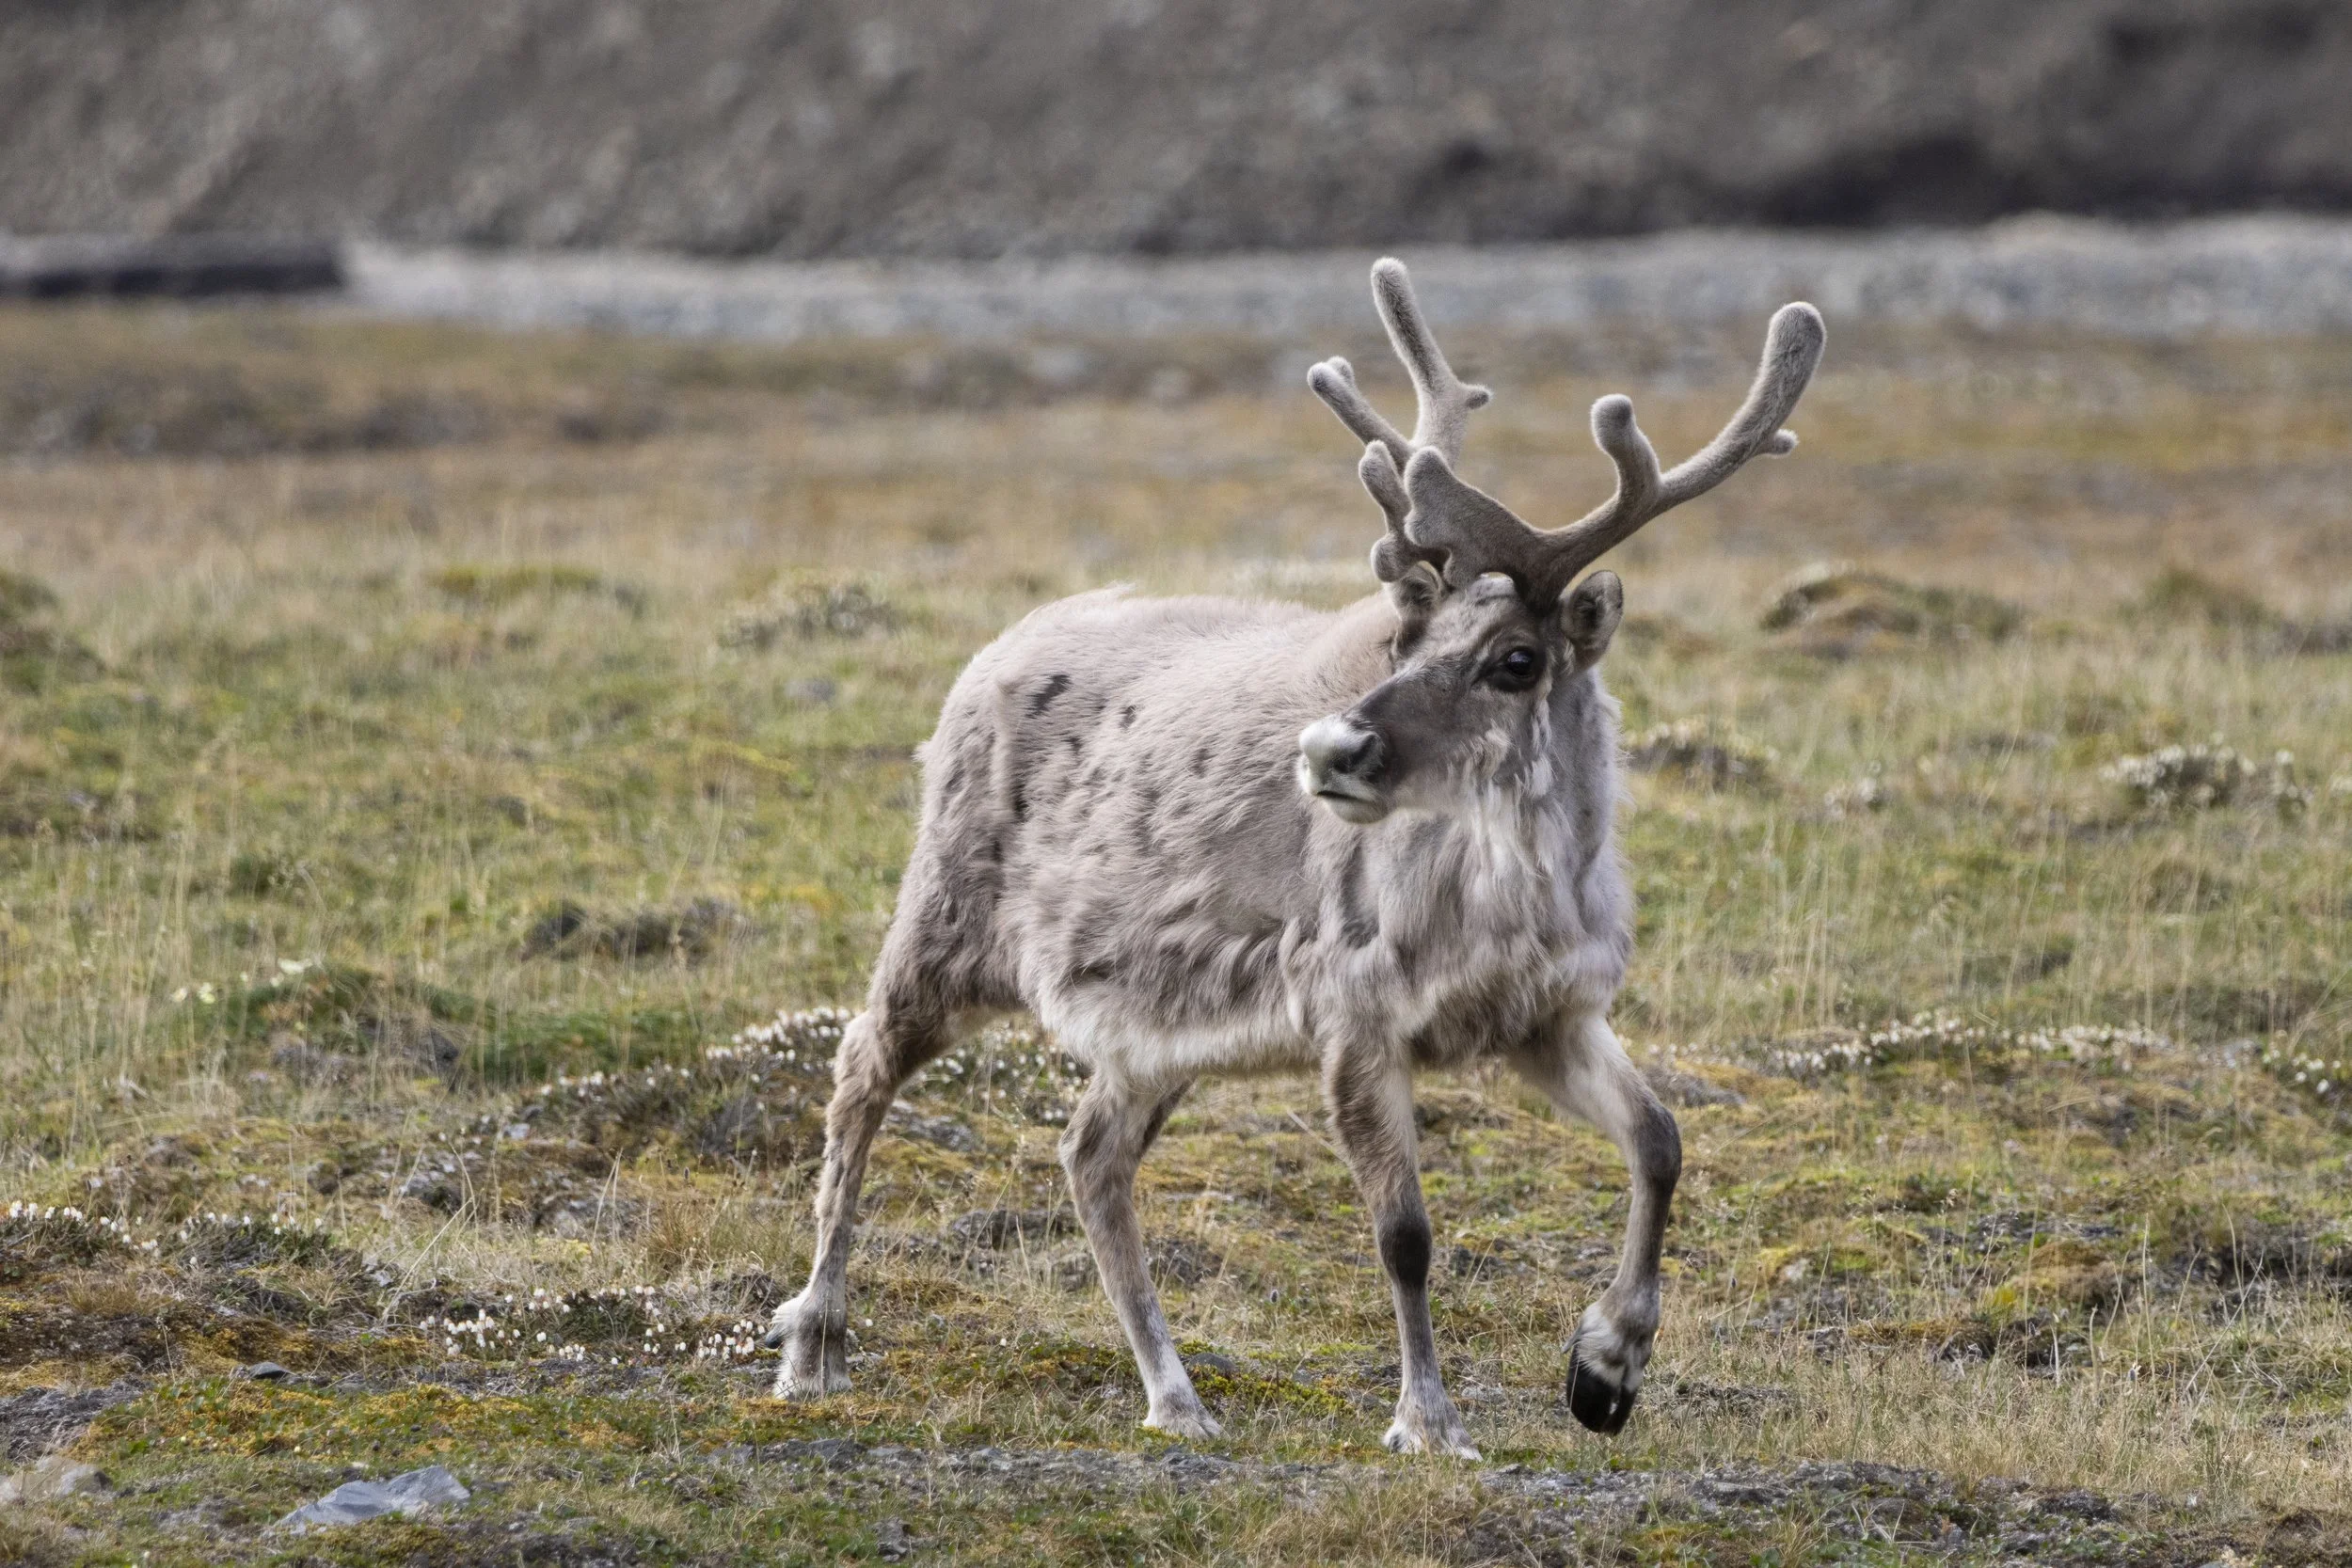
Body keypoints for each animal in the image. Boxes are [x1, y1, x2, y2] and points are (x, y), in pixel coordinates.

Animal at [767, 258, 1824, 1457]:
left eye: (1515, 658)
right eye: (1405, 635)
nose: (1330, 748)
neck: (1517, 898)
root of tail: (987, 654)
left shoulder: (1548, 1015)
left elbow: (1660, 1138)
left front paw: (1605, 1368)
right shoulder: (1351, 1009)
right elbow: (1403, 1230)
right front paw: (1427, 1418)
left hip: (1153, 1029)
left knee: (1089, 1153)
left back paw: (1175, 1394)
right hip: (943, 922)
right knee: (859, 1072)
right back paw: (813, 1345)